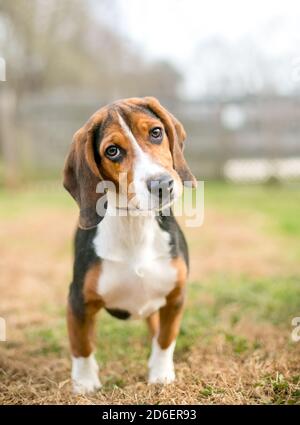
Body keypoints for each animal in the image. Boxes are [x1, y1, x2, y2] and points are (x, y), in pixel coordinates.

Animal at [62, 97, 197, 394]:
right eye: (112, 151)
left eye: (156, 132)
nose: (162, 184)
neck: (135, 224)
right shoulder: (77, 301)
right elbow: (82, 345)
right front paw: (85, 383)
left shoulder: (175, 296)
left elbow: (165, 339)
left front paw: (161, 374)